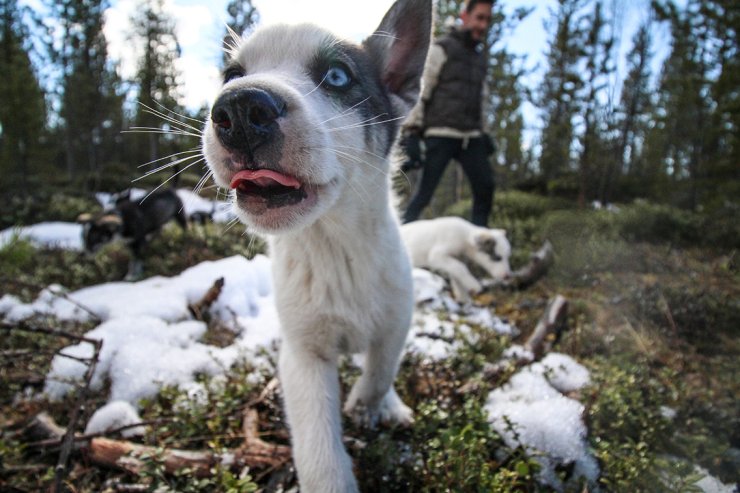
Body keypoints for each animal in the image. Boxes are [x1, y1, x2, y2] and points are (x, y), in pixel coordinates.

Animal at [201, 1, 431, 491]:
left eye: (338, 76)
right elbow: (318, 446)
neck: (333, 245)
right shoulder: (303, 352)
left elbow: (381, 368)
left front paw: (367, 404)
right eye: (232, 74)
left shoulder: (397, 319)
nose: (240, 108)